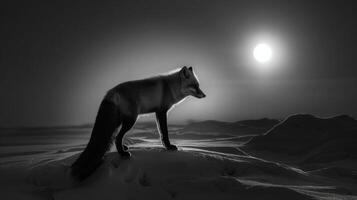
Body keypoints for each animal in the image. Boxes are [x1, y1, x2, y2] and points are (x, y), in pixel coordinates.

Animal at [70, 66, 204, 180]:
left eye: (198, 85)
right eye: (194, 85)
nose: (204, 95)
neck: (170, 87)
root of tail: (110, 92)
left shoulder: (158, 112)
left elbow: (161, 133)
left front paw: (166, 147)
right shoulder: (161, 111)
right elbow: (164, 133)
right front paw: (169, 147)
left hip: (118, 122)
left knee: (115, 137)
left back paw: (123, 149)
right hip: (131, 120)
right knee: (118, 137)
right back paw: (123, 154)